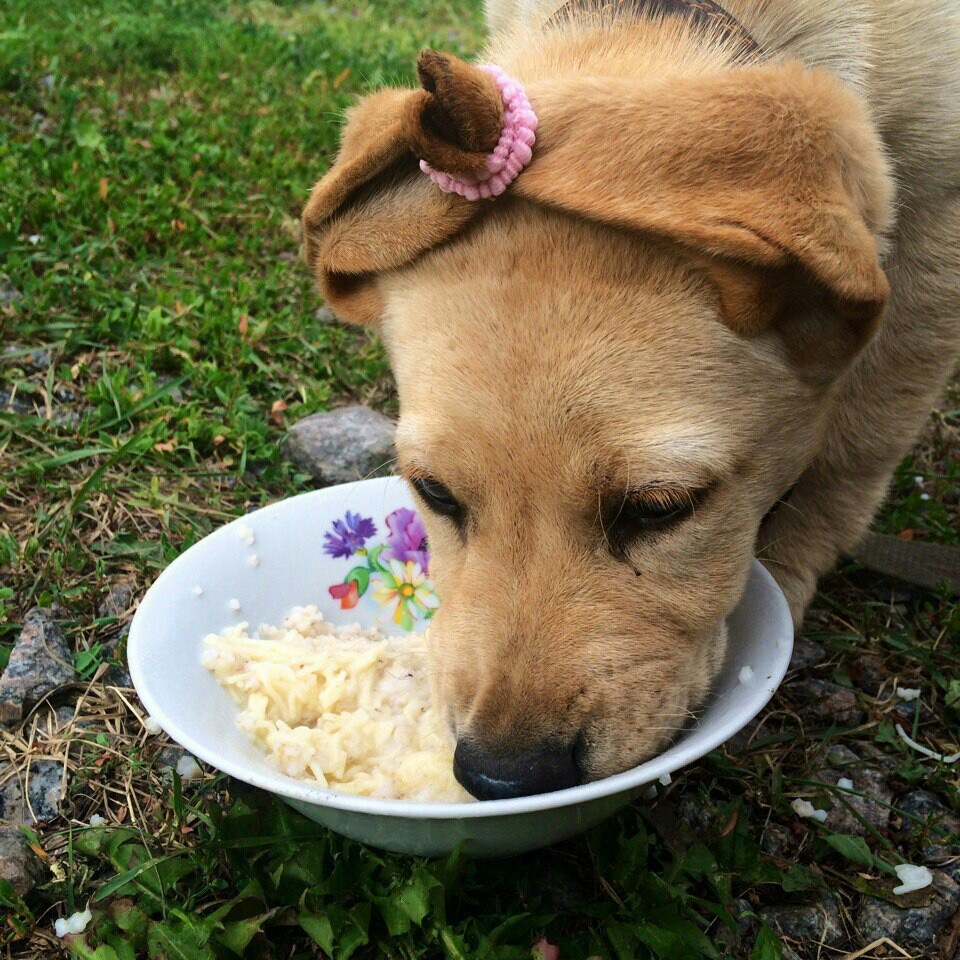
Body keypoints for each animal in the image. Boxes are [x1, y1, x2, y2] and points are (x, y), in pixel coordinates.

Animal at [300, 0, 960, 796]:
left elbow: (852, 449)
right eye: (434, 492)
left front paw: (791, 571)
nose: (502, 776)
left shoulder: (934, 233)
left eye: (660, 509)